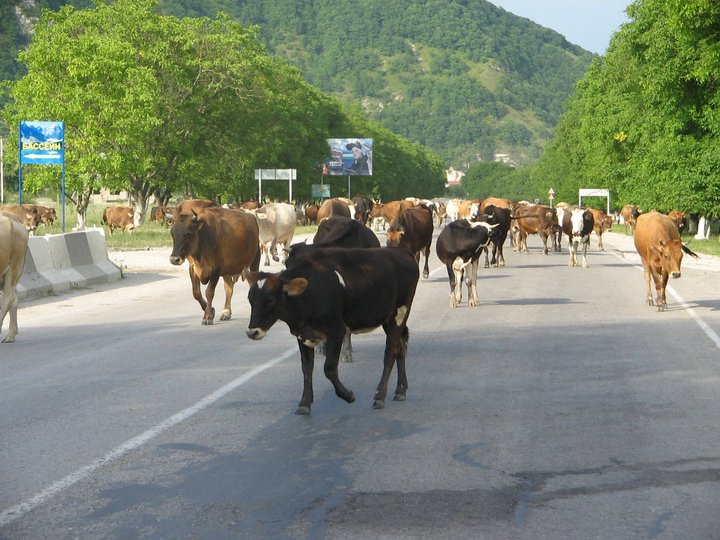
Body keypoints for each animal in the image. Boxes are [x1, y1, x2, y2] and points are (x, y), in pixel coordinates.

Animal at [244, 246, 420, 415]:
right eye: (250, 299)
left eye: (270, 300)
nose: (252, 332)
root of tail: (401, 251)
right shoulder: (302, 334)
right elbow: (306, 368)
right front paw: (304, 403)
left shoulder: (337, 330)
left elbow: (328, 368)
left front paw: (348, 395)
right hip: (388, 318)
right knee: (400, 347)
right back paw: (400, 390)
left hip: (400, 313)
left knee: (390, 353)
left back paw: (380, 396)